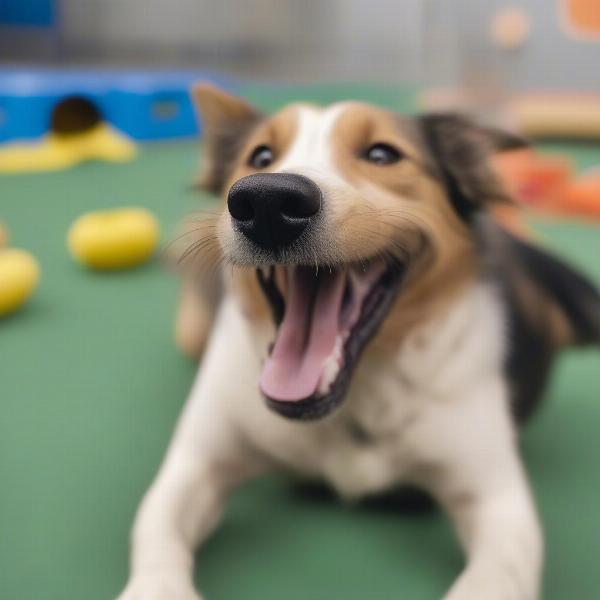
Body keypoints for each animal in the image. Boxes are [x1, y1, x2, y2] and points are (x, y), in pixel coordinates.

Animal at [117, 85, 600, 600]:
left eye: (382, 154)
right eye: (260, 156)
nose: (266, 200)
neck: (356, 396)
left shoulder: (497, 499)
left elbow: (495, 574)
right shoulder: (195, 464)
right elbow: (158, 527)